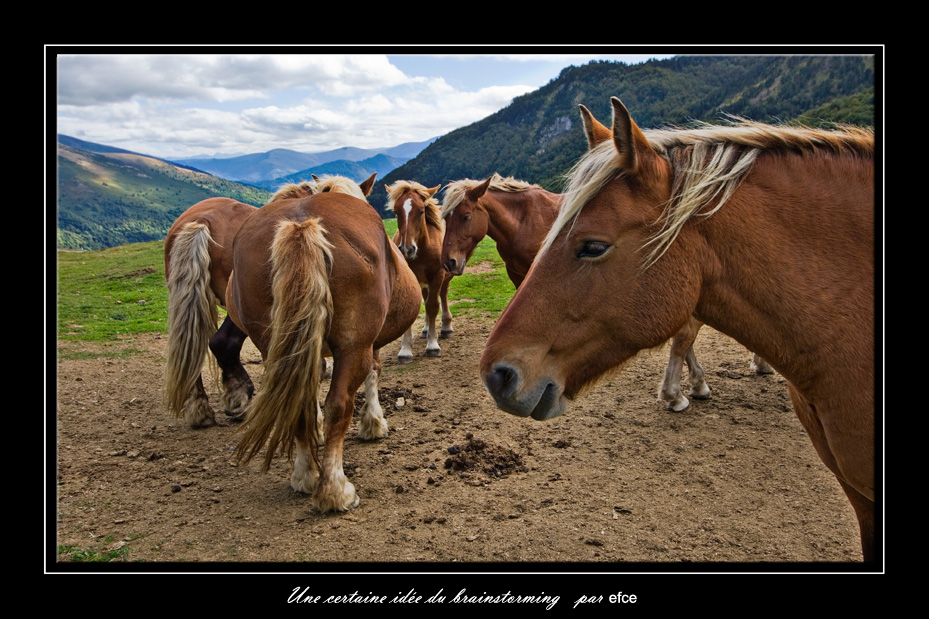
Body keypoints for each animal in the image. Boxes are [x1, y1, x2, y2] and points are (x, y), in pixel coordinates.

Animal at [384, 179, 454, 364]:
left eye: (421, 211)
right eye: (396, 212)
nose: (407, 249)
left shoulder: (437, 275)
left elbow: (432, 306)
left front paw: (433, 345)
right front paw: (405, 351)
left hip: (444, 277)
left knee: (442, 295)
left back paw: (446, 327)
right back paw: (426, 329)